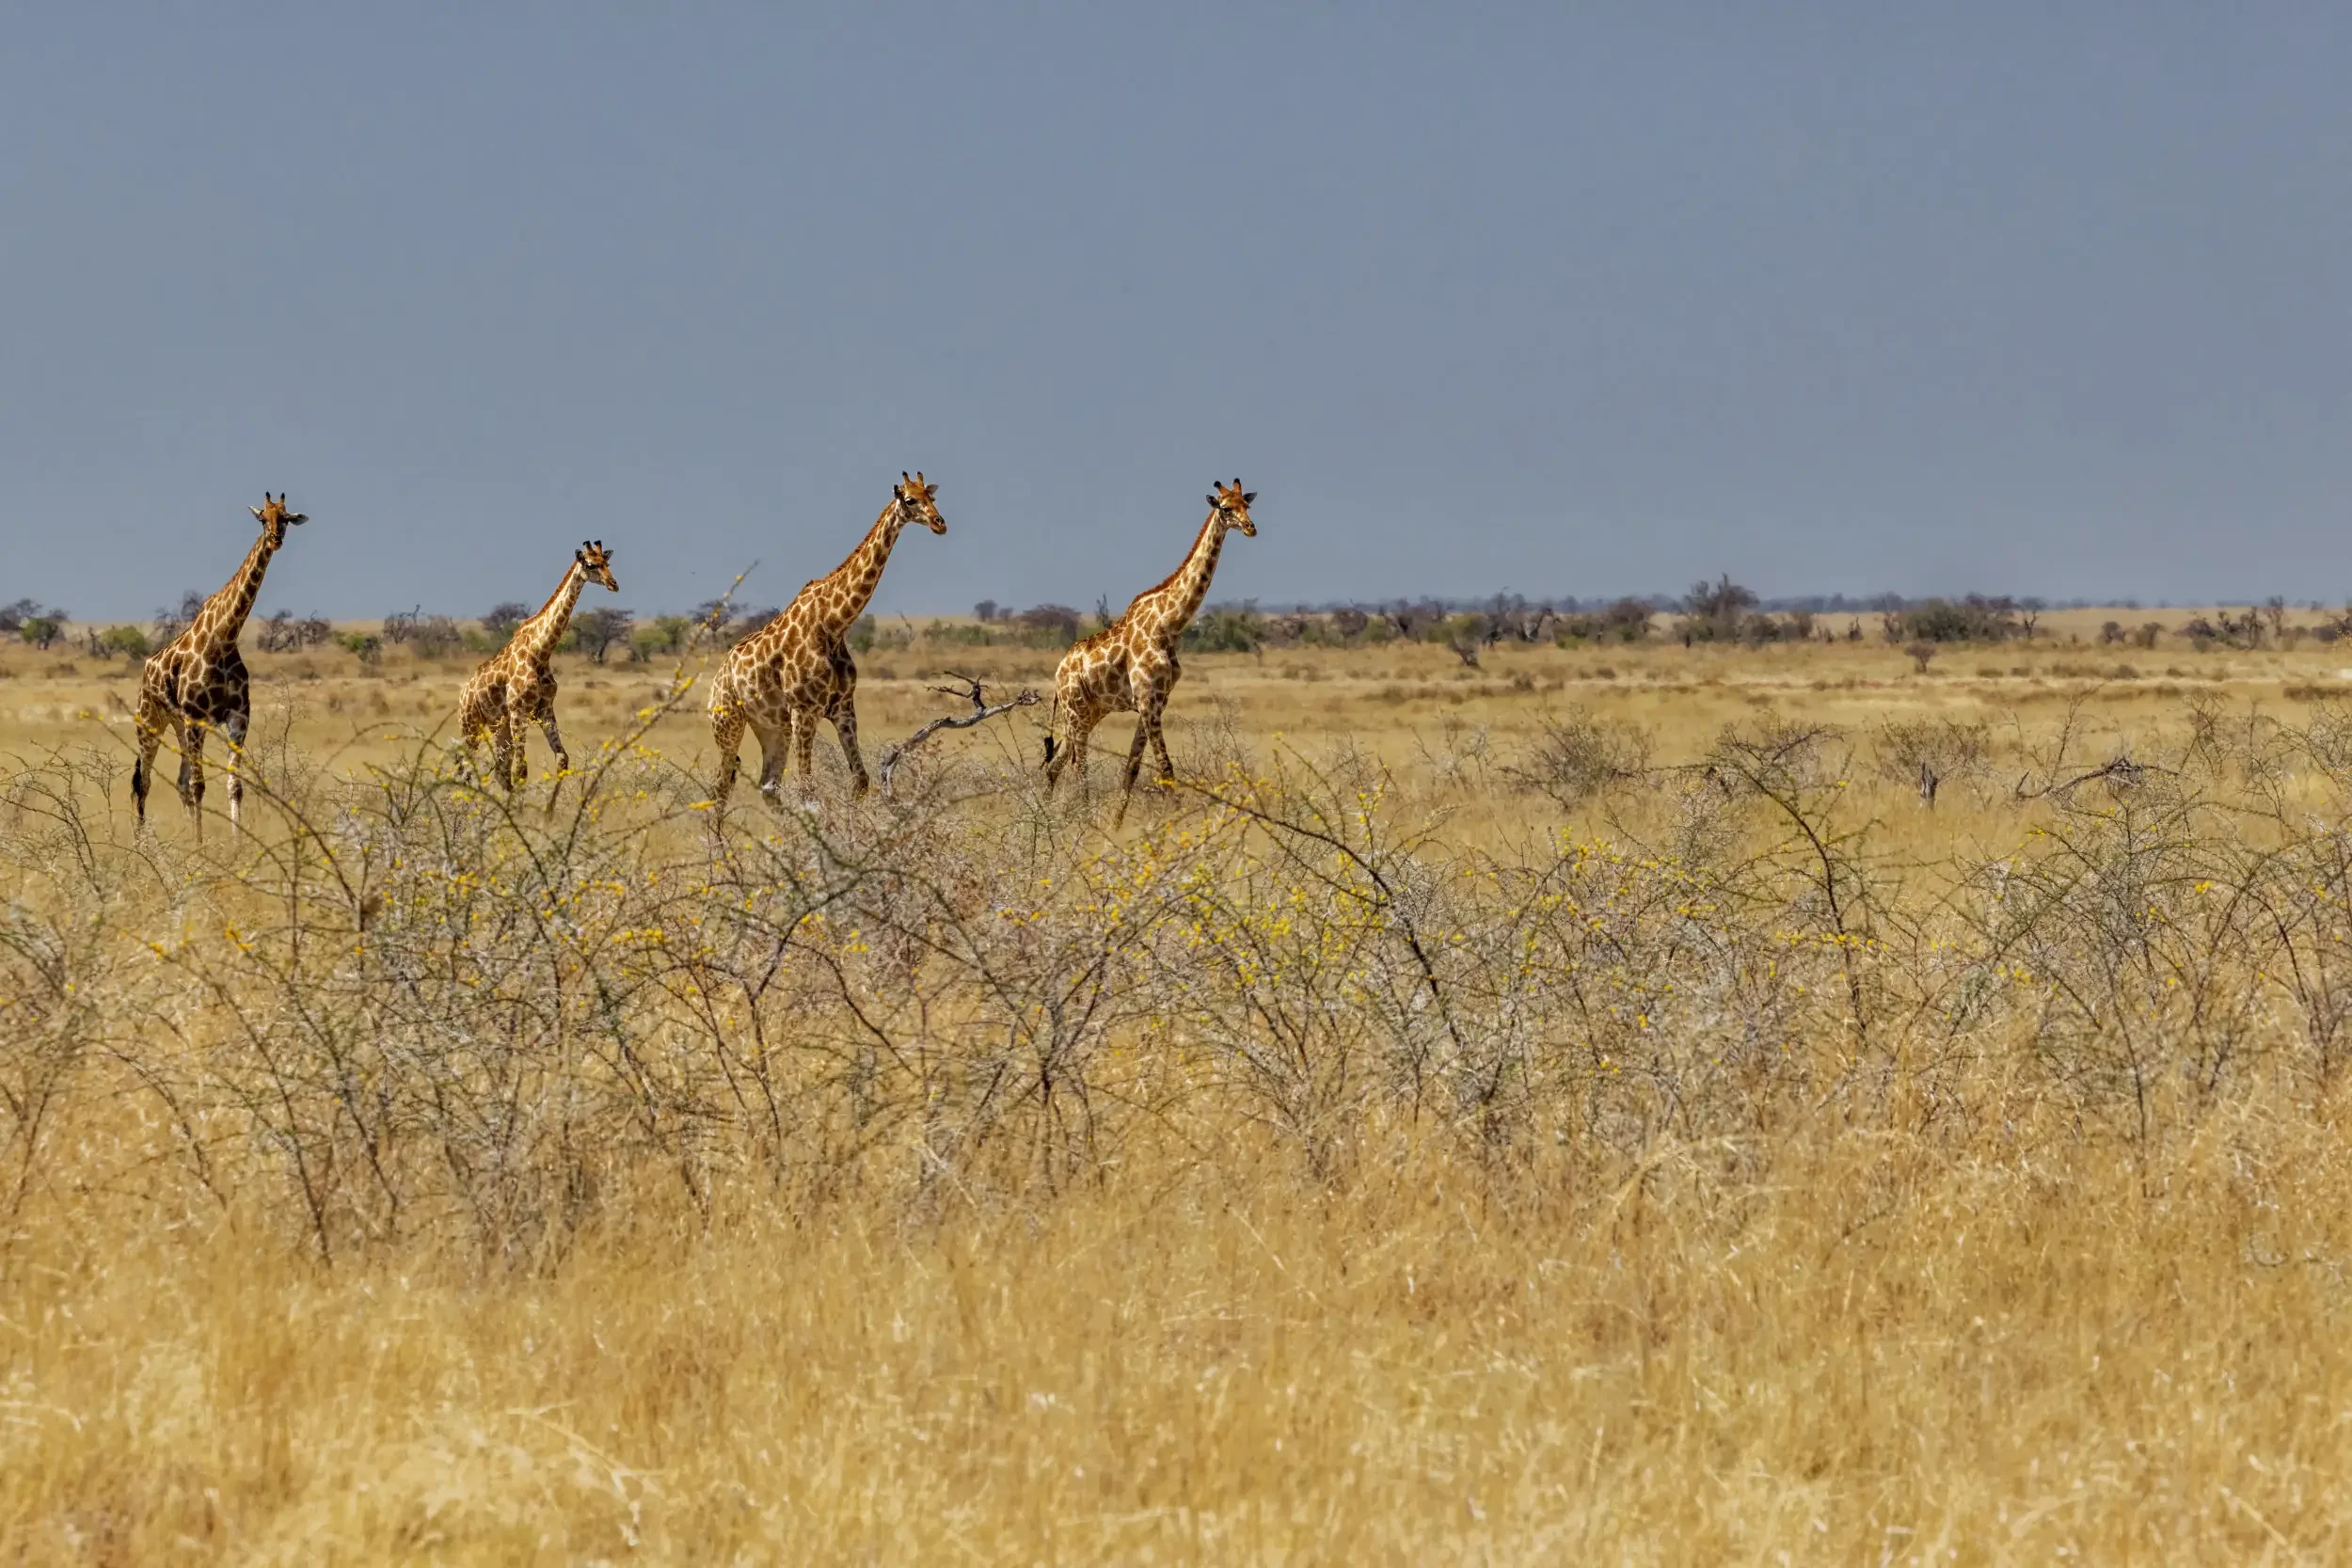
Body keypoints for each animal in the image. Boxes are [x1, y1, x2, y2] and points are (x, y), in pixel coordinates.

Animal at [131, 492, 309, 838]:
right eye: (262, 518)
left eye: (285, 518)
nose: (275, 539)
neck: (224, 638)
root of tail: (146, 672)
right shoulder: (197, 717)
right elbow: (200, 785)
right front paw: (202, 846)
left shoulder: (238, 716)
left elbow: (234, 787)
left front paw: (235, 843)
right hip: (150, 722)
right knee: (144, 783)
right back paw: (143, 842)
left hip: (178, 725)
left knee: (179, 781)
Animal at [458, 540, 619, 796]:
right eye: (591, 565)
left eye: (607, 563)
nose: (613, 584)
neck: (540, 652)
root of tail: (463, 693)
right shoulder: (519, 712)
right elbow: (521, 770)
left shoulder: (544, 709)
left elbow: (562, 759)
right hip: (470, 725)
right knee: (466, 769)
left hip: (498, 726)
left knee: (499, 771)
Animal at [707, 473, 947, 810]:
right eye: (910, 500)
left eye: (932, 497)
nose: (940, 523)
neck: (833, 624)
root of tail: (718, 677)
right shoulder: (804, 711)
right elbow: (809, 792)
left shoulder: (843, 707)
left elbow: (860, 780)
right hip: (728, 723)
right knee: (720, 789)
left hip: (771, 727)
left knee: (768, 788)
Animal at [1042, 479, 1256, 816]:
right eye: (1225, 508)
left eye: (1247, 505)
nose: (1250, 528)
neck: (1169, 625)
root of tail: (1057, 675)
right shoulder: (1147, 699)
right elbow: (1165, 769)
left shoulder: (1158, 699)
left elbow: (1132, 769)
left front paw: (1116, 823)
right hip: (1075, 711)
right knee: (1078, 767)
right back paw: (1081, 819)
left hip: (1088, 712)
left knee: (1056, 765)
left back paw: (1050, 819)